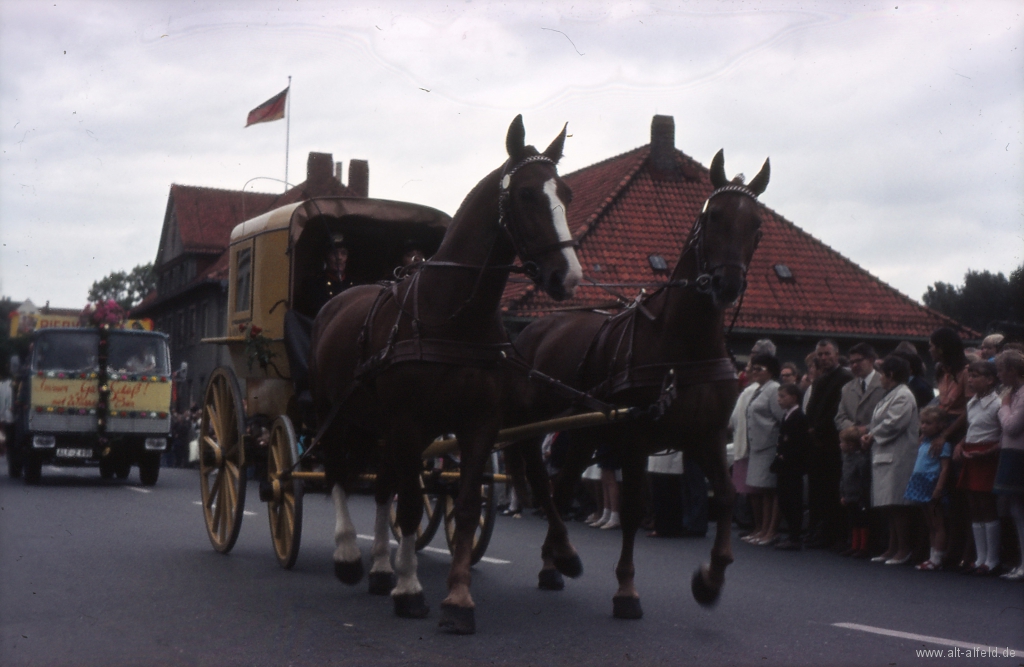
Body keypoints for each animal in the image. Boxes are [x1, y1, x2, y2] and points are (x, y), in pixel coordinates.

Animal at [307, 116, 581, 635]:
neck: (454, 314)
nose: (568, 277)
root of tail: (336, 301)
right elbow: (412, 505)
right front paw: (411, 590)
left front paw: (456, 600)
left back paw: (379, 567)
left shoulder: (477, 425)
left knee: (382, 486)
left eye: (567, 194)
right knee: (338, 474)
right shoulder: (408, 422)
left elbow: (466, 507)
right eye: (527, 195)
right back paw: (349, 556)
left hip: (379, 427)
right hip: (336, 412)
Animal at [507, 148, 765, 618]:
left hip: (583, 433)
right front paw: (626, 590)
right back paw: (559, 557)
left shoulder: (707, 436)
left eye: (756, 223)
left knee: (561, 487)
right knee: (544, 482)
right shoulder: (635, 437)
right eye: (714, 215)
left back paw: (555, 561)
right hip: (541, 424)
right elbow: (630, 509)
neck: (682, 344)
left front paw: (711, 579)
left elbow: (724, 496)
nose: (727, 283)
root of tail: (533, 330)